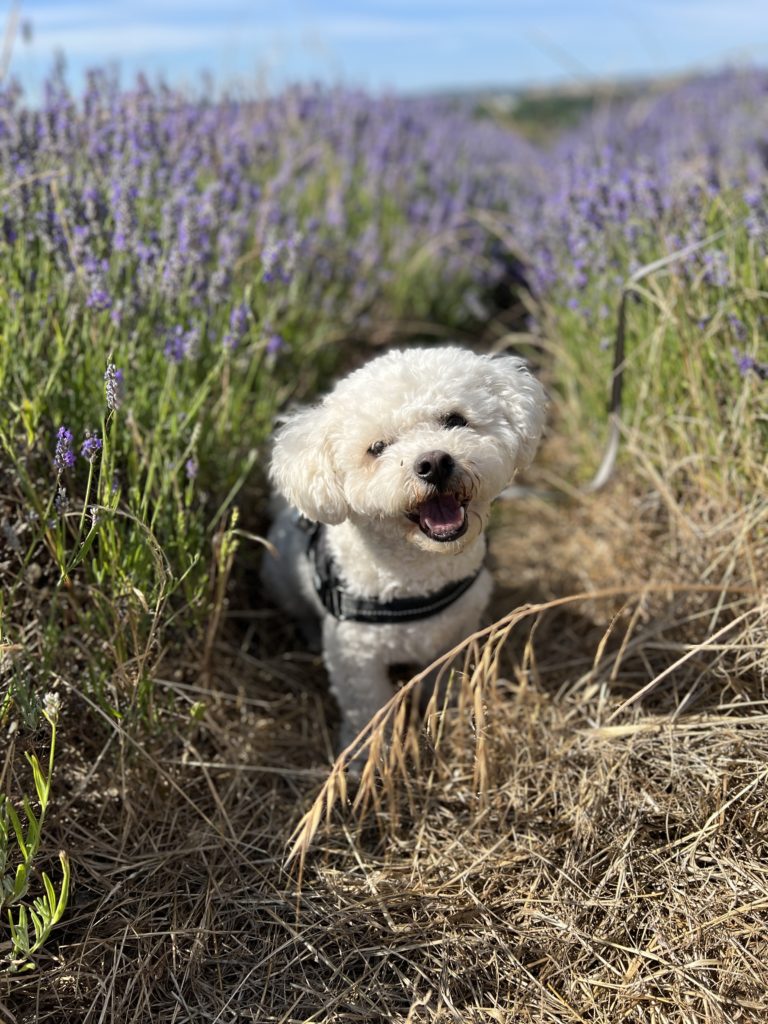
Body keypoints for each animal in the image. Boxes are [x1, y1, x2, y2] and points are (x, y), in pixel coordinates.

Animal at [264, 344, 548, 753]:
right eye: (377, 448)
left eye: (455, 420)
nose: (434, 462)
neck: (418, 576)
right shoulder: (356, 659)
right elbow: (366, 710)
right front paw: (365, 755)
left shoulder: (457, 634)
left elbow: (445, 682)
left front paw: (448, 716)